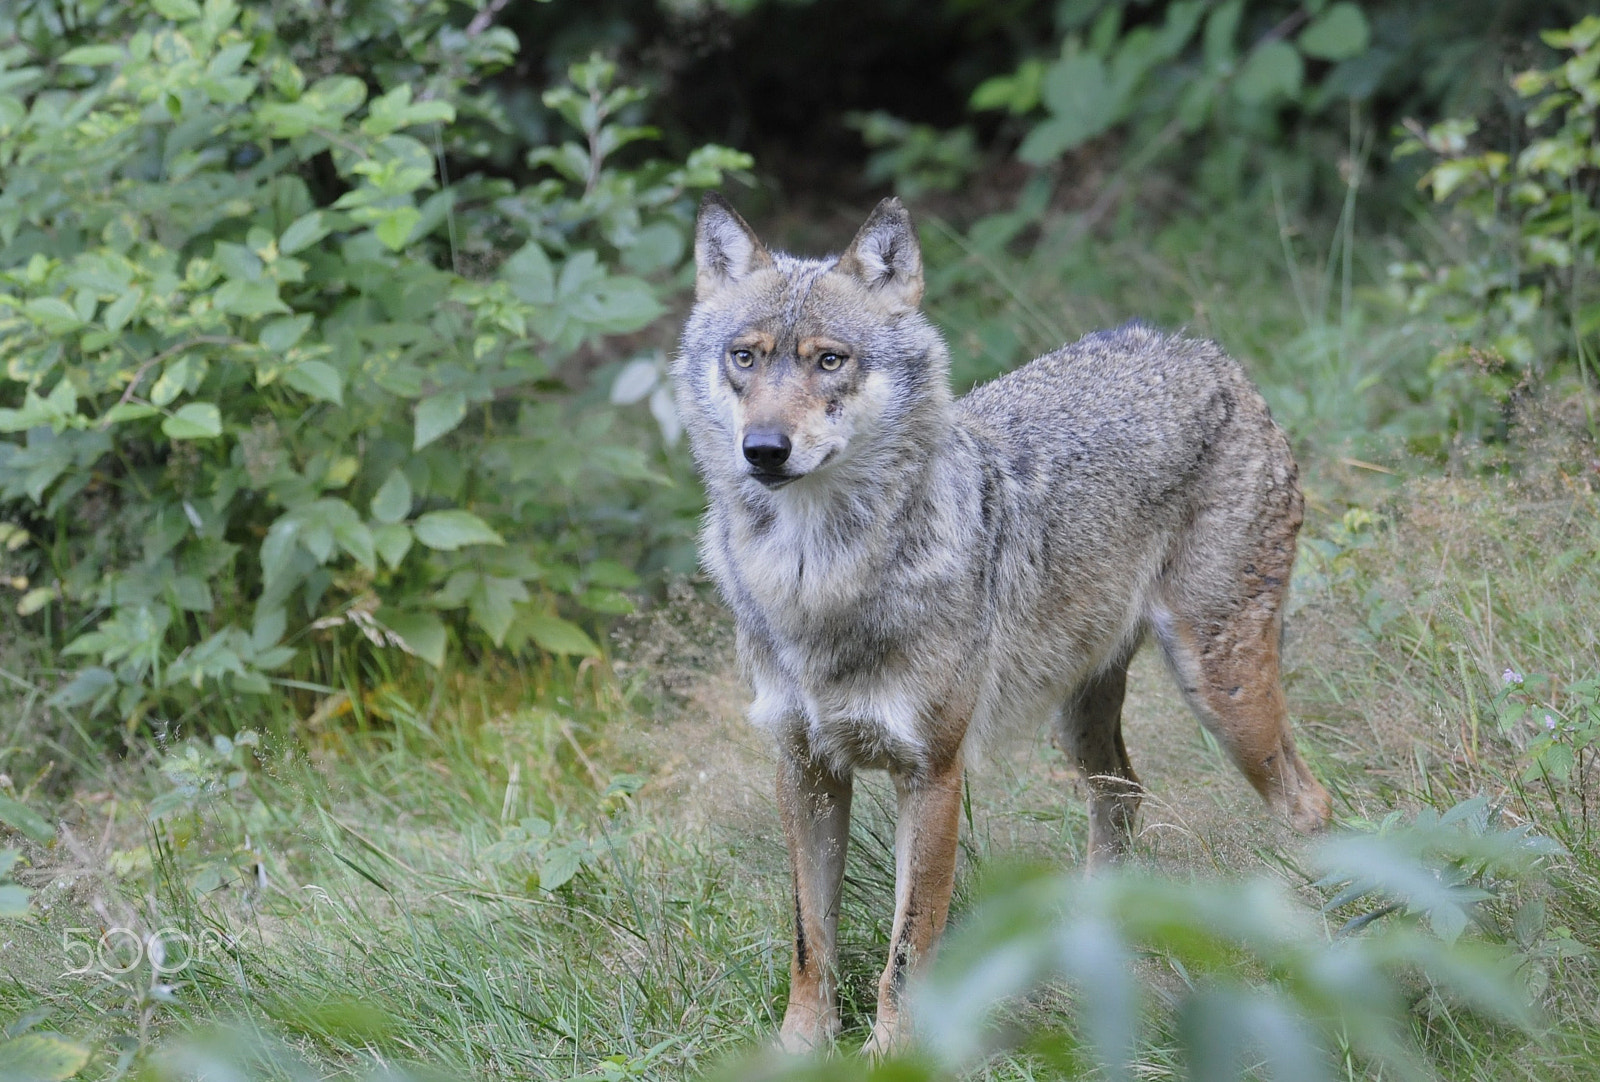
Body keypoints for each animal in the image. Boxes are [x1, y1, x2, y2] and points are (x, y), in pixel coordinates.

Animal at [672, 194, 1333, 1056]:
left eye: (830, 361)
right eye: (745, 358)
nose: (764, 449)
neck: (815, 579)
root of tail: (1204, 353)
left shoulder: (933, 773)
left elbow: (906, 948)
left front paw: (892, 1056)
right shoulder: (803, 767)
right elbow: (809, 939)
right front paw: (799, 1051)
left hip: (1225, 703)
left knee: (1310, 805)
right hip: (1080, 724)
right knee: (1127, 797)